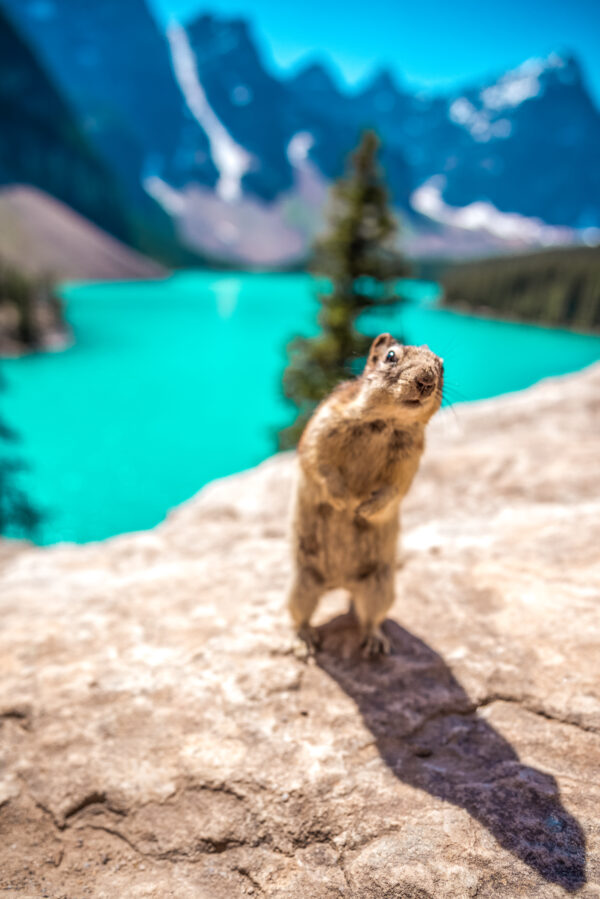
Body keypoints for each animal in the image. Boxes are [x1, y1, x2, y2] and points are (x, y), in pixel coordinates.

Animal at [288, 334, 442, 656]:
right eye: (391, 356)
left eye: (441, 366)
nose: (426, 380)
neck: (384, 421)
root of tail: (341, 584)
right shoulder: (325, 423)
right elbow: (319, 463)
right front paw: (345, 502)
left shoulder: (410, 457)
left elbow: (397, 487)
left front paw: (364, 509)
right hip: (302, 585)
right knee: (300, 616)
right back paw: (304, 641)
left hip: (380, 587)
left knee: (370, 617)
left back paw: (375, 643)